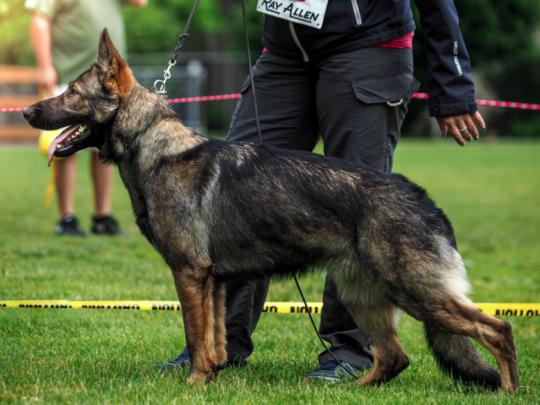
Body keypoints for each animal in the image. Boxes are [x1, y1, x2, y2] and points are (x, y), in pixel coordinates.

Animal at [22, 30, 520, 390]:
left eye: (71, 92)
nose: (26, 111)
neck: (152, 145)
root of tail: (424, 199)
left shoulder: (190, 273)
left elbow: (195, 335)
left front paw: (194, 383)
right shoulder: (215, 282)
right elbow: (214, 340)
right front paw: (211, 376)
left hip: (415, 292)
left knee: (497, 329)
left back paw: (508, 390)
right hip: (364, 294)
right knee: (395, 357)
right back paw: (354, 390)